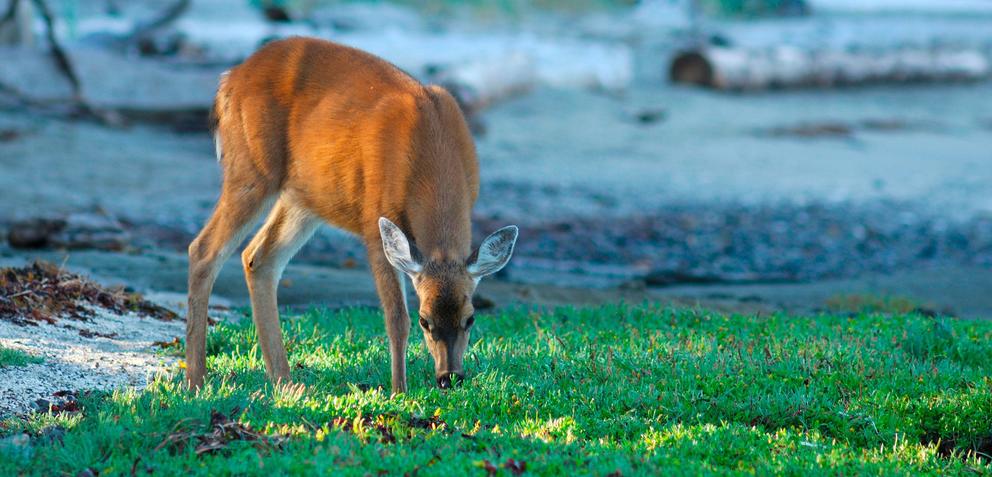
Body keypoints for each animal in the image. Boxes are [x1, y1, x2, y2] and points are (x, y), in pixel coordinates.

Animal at [189, 37, 524, 392]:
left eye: (470, 317)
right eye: (425, 320)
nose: (450, 377)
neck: (431, 150)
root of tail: (229, 80)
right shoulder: (374, 219)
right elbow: (396, 317)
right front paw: (399, 391)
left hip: (304, 197)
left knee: (258, 258)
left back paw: (285, 383)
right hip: (252, 169)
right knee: (204, 249)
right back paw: (195, 381)